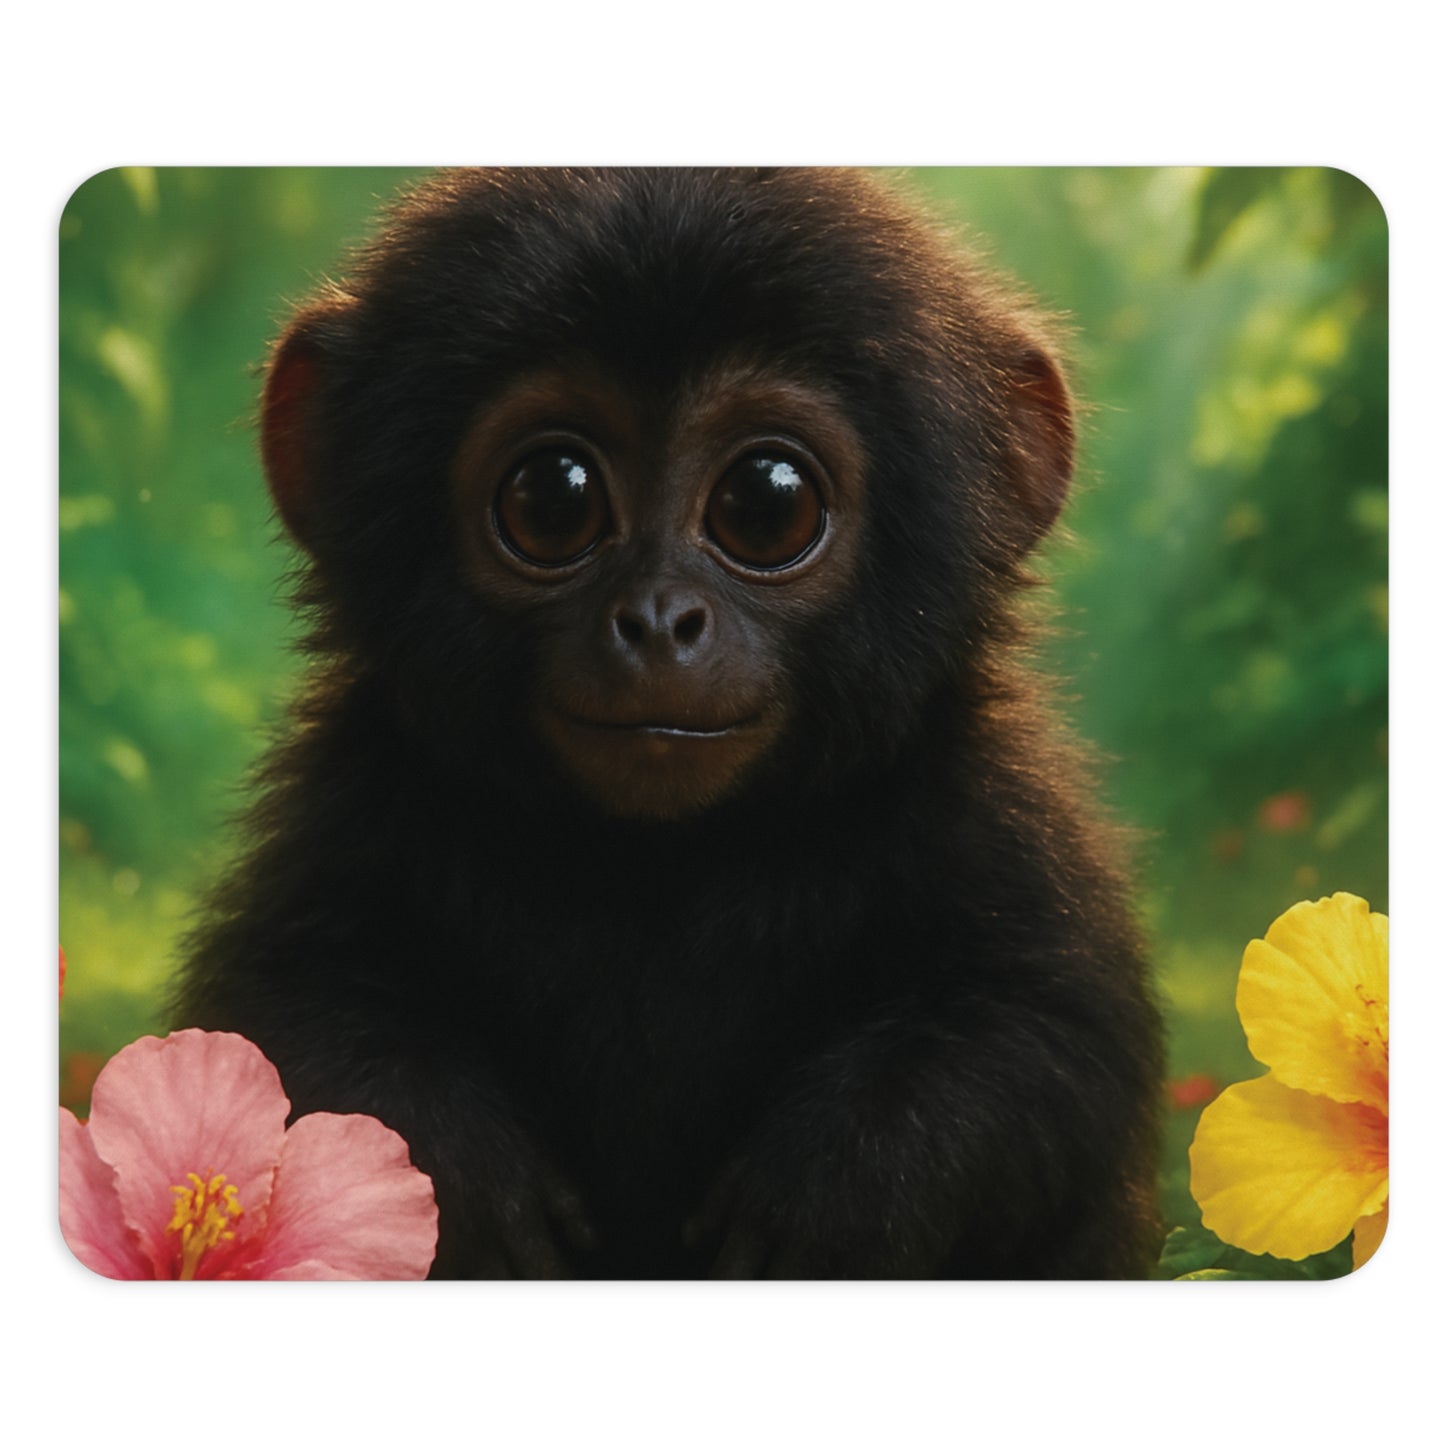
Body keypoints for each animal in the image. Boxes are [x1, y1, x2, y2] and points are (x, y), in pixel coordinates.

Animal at [172, 167, 1163, 1279]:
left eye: (765, 502)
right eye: (551, 498)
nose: (657, 618)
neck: (667, 861)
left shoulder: (991, 805)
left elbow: (1049, 1039)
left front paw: (845, 1183)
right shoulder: (351, 796)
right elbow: (286, 1013)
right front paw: (458, 1182)